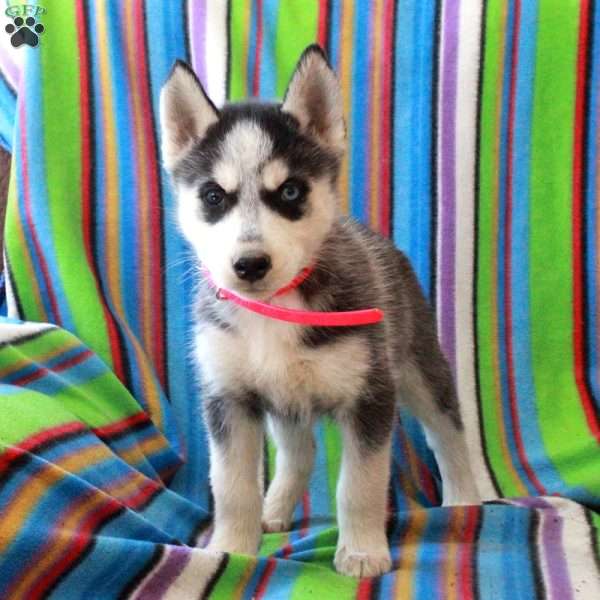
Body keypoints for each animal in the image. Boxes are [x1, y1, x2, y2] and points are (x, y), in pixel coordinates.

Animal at [159, 44, 478, 580]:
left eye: (290, 192)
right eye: (212, 196)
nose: (250, 264)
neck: (275, 310)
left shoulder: (371, 398)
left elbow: (360, 484)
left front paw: (362, 551)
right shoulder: (229, 399)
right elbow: (231, 484)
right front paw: (231, 547)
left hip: (420, 368)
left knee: (449, 434)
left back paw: (465, 499)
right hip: (286, 402)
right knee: (300, 452)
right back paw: (274, 509)